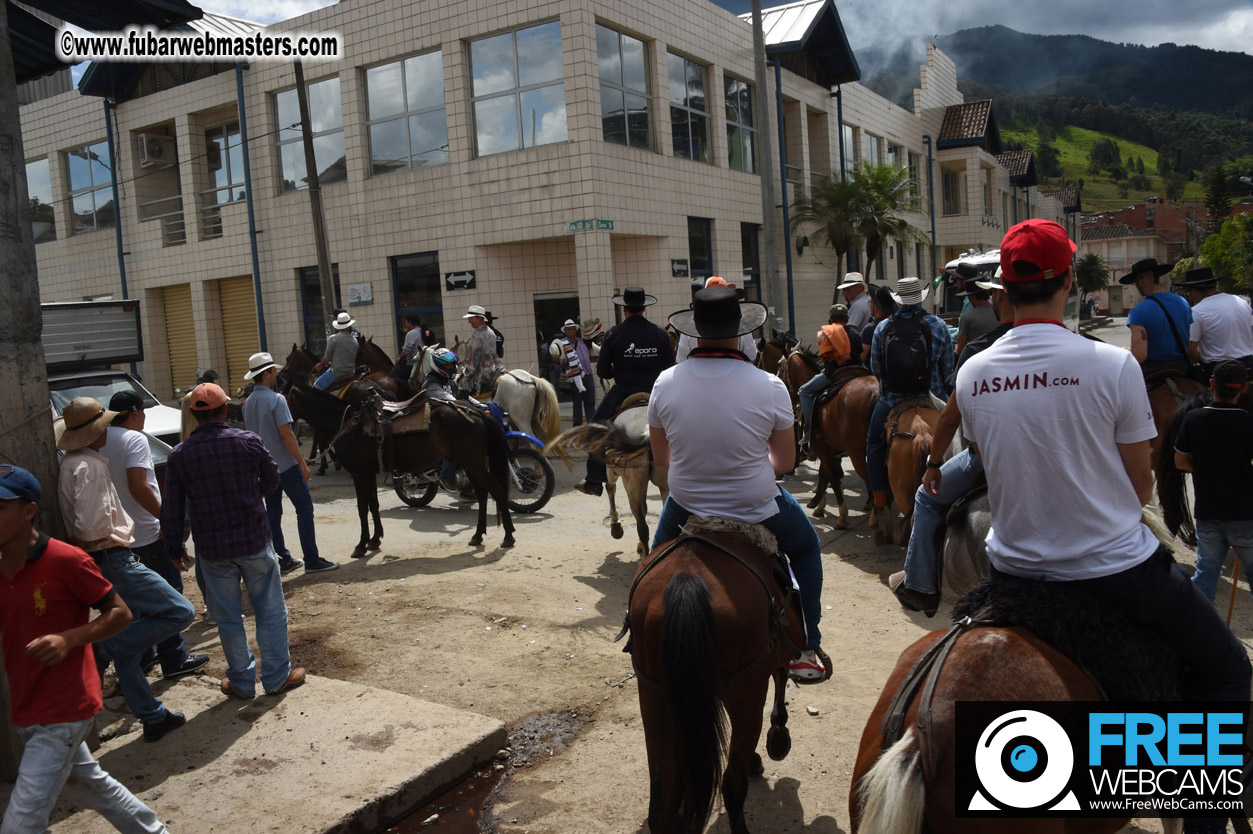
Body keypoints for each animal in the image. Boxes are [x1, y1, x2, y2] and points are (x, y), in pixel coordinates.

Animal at [286, 380, 513, 550]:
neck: (349, 425)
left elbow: (362, 507)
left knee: (497, 491)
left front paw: (361, 545)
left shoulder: (359, 473)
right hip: (470, 463)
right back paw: (478, 535)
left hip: (473, 463)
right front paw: (375, 540)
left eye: (285, 399)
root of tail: (475, 412)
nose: (290, 427)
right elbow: (373, 504)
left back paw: (508, 537)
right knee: (482, 495)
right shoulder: (368, 473)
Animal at [631, 525, 806, 831]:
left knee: (661, 810)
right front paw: (778, 735)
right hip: (747, 694)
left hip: (654, 697)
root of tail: (686, 579)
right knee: (732, 787)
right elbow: (781, 676)